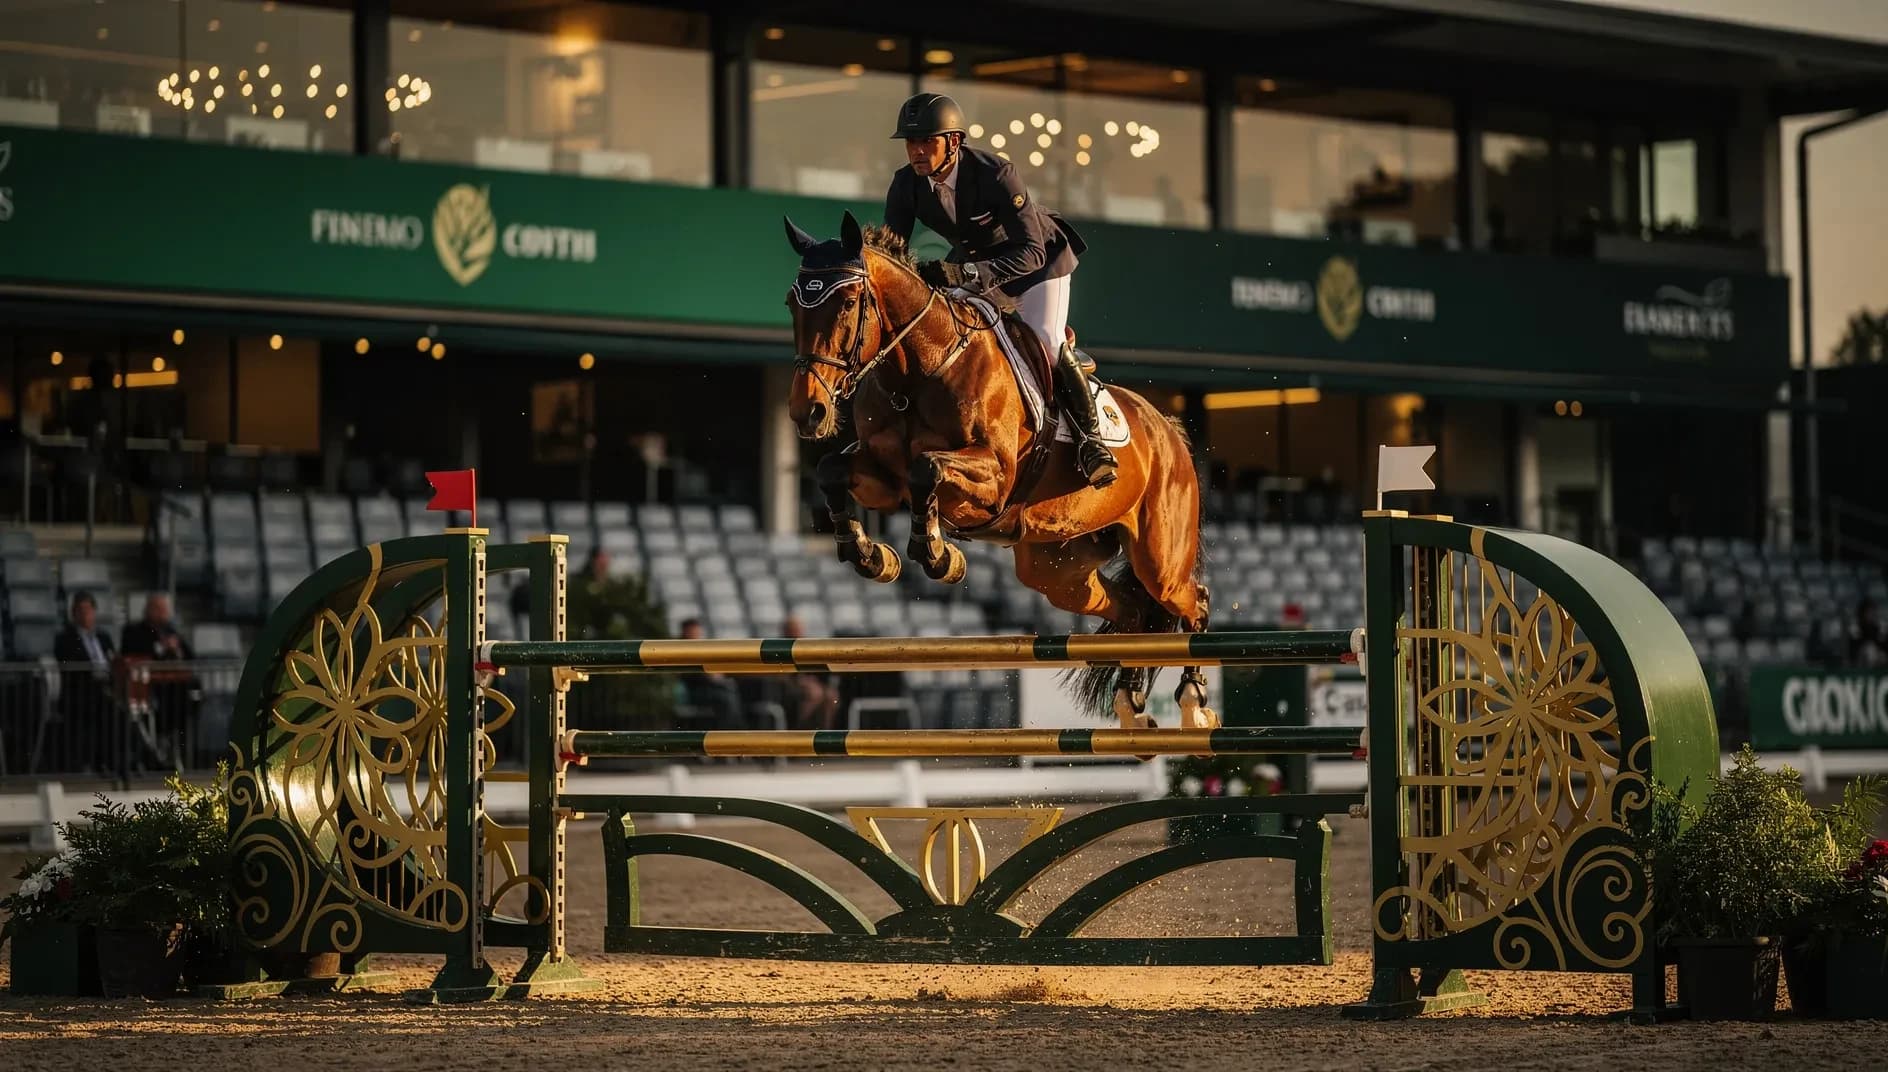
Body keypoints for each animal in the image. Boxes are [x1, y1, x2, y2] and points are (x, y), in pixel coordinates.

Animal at [781, 210, 1216, 730]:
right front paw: (870, 555)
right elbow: (833, 469)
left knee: (1193, 602)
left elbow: (926, 469)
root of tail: (1169, 429)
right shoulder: (882, 479)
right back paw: (1131, 706)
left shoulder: (994, 477)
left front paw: (938, 555)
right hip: (1058, 570)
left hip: (1159, 558)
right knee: (1133, 614)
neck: (918, 370)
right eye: (792, 304)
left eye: (847, 303)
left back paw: (1193, 705)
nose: (808, 413)